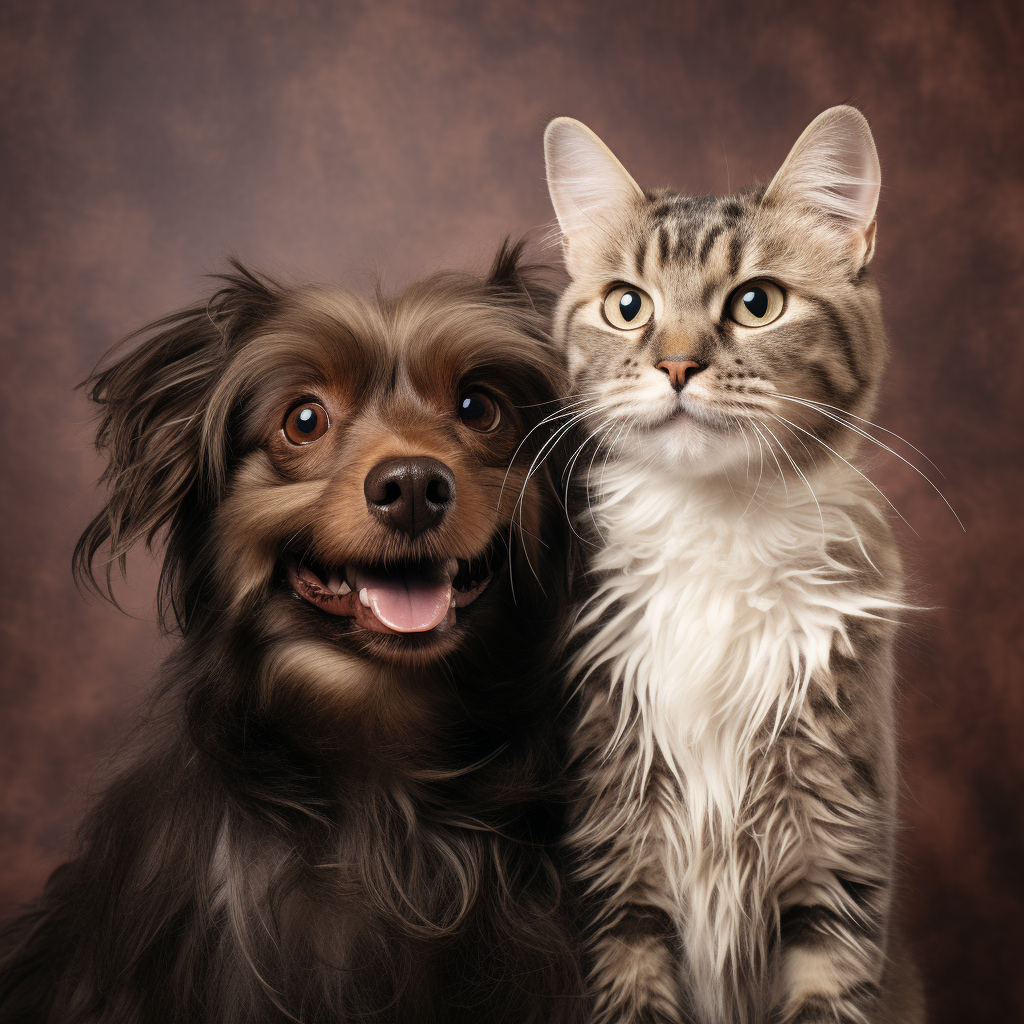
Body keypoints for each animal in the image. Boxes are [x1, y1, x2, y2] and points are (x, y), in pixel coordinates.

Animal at [544, 110, 929, 1024]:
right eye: (627, 305)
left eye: (757, 303)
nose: (677, 365)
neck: (717, 526)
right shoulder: (618, 855)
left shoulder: (836, 857)